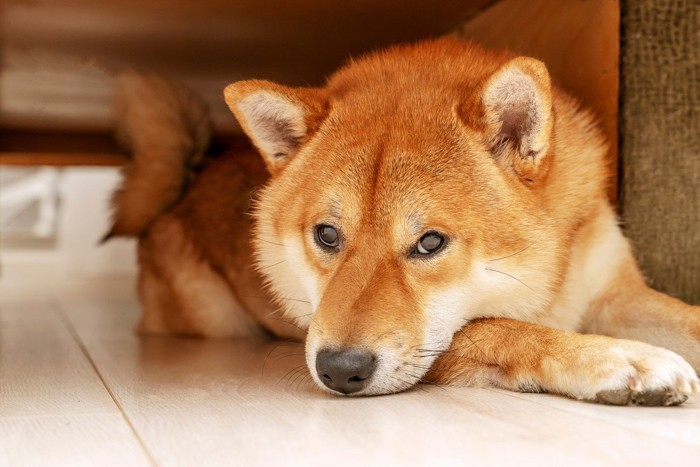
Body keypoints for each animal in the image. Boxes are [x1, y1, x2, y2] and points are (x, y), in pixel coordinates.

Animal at [109, 39, 700, 406]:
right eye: (327, 235)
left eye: (430, 242)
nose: (339, 369)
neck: (552, 278)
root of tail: (189, 180)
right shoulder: (451, 341)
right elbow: (506, 328)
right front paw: (617, 359)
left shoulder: (615, 295)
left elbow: (685, 317)